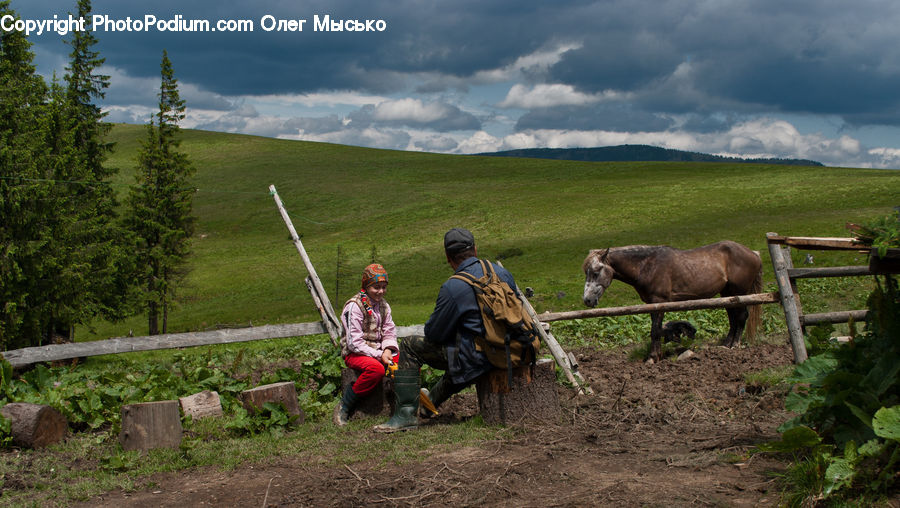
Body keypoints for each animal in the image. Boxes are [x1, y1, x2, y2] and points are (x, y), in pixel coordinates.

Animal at [582, 241, 762, 362]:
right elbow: (656, 330)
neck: (647, 266)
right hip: (727, 294)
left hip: (738, 293)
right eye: (586, 273)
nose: (587, 300)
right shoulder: (651, 304)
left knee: (741, 317)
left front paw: (653, 357)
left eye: (596, 272)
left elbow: (655, 331)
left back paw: (735, 344)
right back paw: (726, 344)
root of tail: (754, 253)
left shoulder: (659, 303)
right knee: (733, 318)